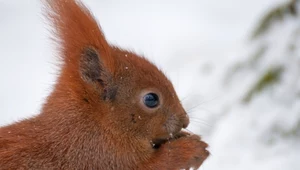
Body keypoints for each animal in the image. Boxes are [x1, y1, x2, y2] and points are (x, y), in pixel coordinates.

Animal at [0, 0, 209, 169]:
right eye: (151, 99)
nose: (185, 121)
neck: (94, 126)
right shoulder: (98, 157)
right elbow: (154, 165)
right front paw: (189, 149)